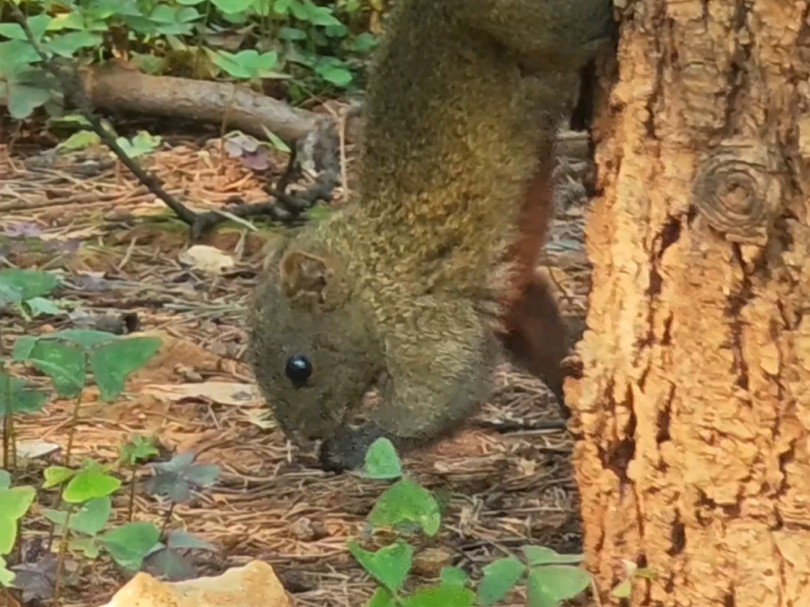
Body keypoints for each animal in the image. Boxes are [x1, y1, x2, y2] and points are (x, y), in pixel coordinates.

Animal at [246, 0, 612, 472]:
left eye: (299, 367)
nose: (304, 440)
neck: (370, 271)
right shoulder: (511, 297)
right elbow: (536, 331)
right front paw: (570, 388)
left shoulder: (420, 319)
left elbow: (442, 393)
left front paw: (351, 446)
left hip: (543, 28)